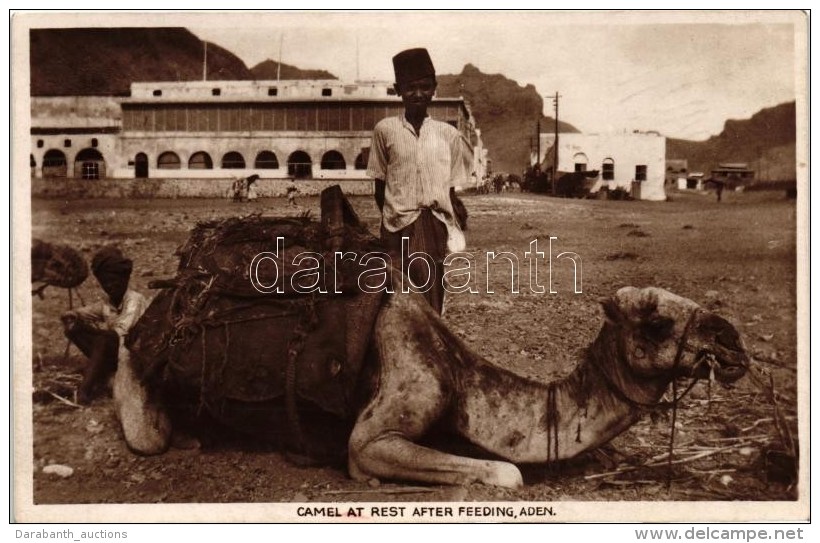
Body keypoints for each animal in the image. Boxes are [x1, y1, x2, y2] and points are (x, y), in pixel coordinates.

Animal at [113, 278, 748, 490]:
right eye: (656, 322)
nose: (733, 344)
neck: (461, 376)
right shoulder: (379, 430)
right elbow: (509, 473)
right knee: (144, 423)